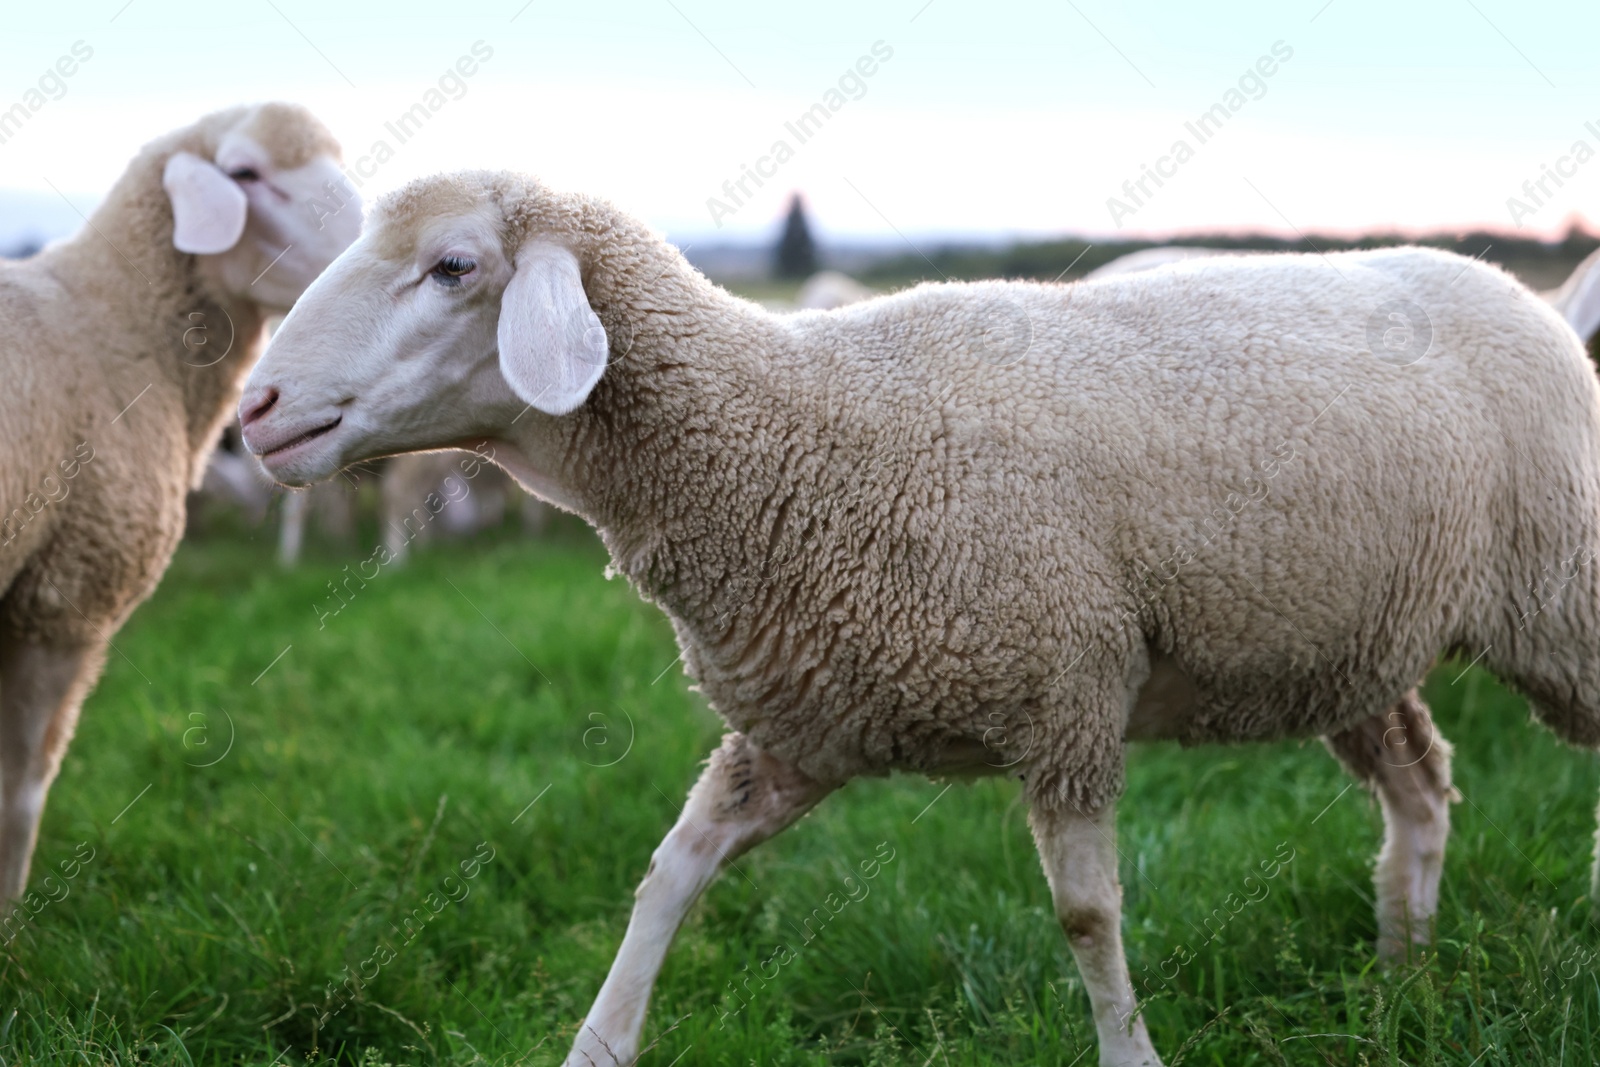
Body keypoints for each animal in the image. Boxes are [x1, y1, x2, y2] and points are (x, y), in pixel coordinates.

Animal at [240, 171, 1600, 1062]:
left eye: (453, 266)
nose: (254, 409)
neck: (789, 430)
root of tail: (1526, 296)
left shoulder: (1065, 695)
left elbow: (1086, 914)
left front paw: (1129, 1051)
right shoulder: (803, 721)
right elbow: (669, 870)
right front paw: (598, 1040)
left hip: (1560, 596)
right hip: (1341, 645)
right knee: (1420, 785)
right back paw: (1400, 974)